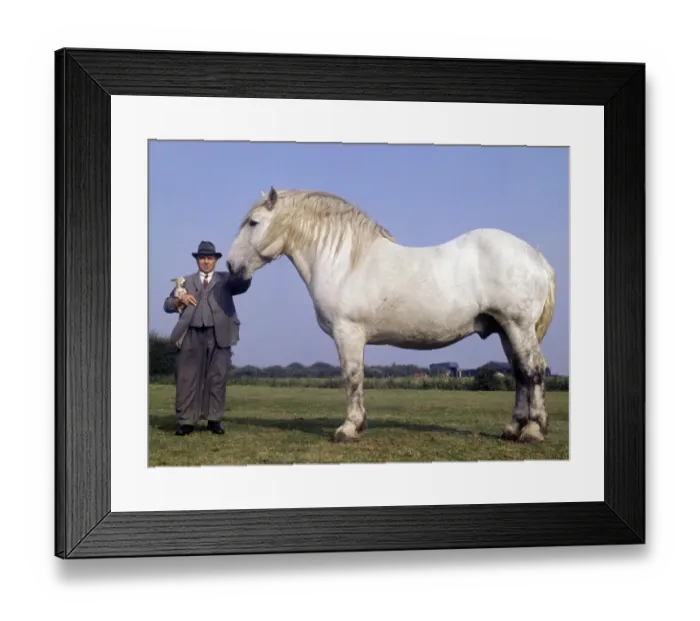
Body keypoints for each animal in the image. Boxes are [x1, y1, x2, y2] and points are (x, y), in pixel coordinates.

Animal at [226, 186, 556, 445]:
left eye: (253, 222)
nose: (231, 266)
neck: (345, 263)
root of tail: (536, 257)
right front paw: (358, 425)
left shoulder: (348, 333)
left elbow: (352, 376)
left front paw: (349, 428)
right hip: (505, 330)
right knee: (519, 372)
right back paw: (513, 428)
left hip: (518, 326)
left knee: (533, 370)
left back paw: (532, 431)